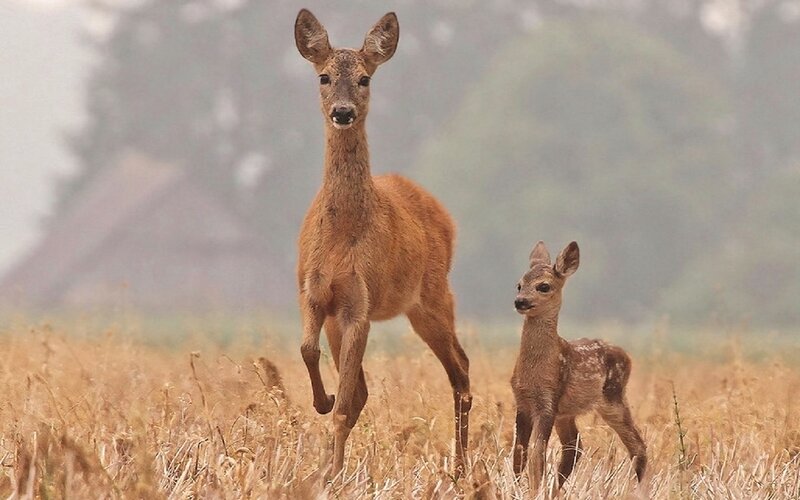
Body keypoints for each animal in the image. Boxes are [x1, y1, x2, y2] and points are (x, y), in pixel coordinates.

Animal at [293, 9, 472, 477]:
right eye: (323, 76)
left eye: (364, 78)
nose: (342, 112)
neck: (341, 237)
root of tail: (443, 214)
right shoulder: (314, 293)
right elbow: (308, 352)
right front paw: (323, 405)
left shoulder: (360, 305)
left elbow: (344, 406)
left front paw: (335, 473)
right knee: (366, 391)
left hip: (432, 298)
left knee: (461, 370)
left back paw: (461, 468)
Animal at [511, 241, 647, 494]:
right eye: (519, 284)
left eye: (543, 286)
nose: (520, 301)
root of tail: (627, 356)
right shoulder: (522, 401)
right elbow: (519, 453)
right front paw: (515, 488)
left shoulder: (548, 400)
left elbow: (537, 452)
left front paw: (533, 490)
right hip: (568, 412)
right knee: (574, 446)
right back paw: (555, 490)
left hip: (613, 398)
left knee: (637, 445)